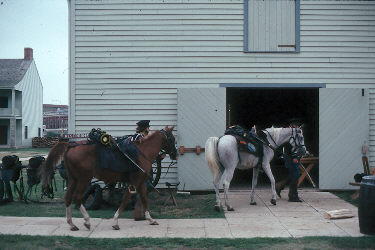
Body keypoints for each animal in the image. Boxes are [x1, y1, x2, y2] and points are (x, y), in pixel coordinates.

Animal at [39, 126, 178, 231]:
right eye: (172, 138)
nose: (175, 154)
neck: (142, 152)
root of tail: (70, 145)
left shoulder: (141, 182)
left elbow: (143, 199)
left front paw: (150, 219)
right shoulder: (135, 182)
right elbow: (126, 199)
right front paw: (115, 221)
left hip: (74, 179)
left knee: (68, 198)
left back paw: (72, 224)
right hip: (84, 179)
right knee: (77, 198)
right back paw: (87, 221)